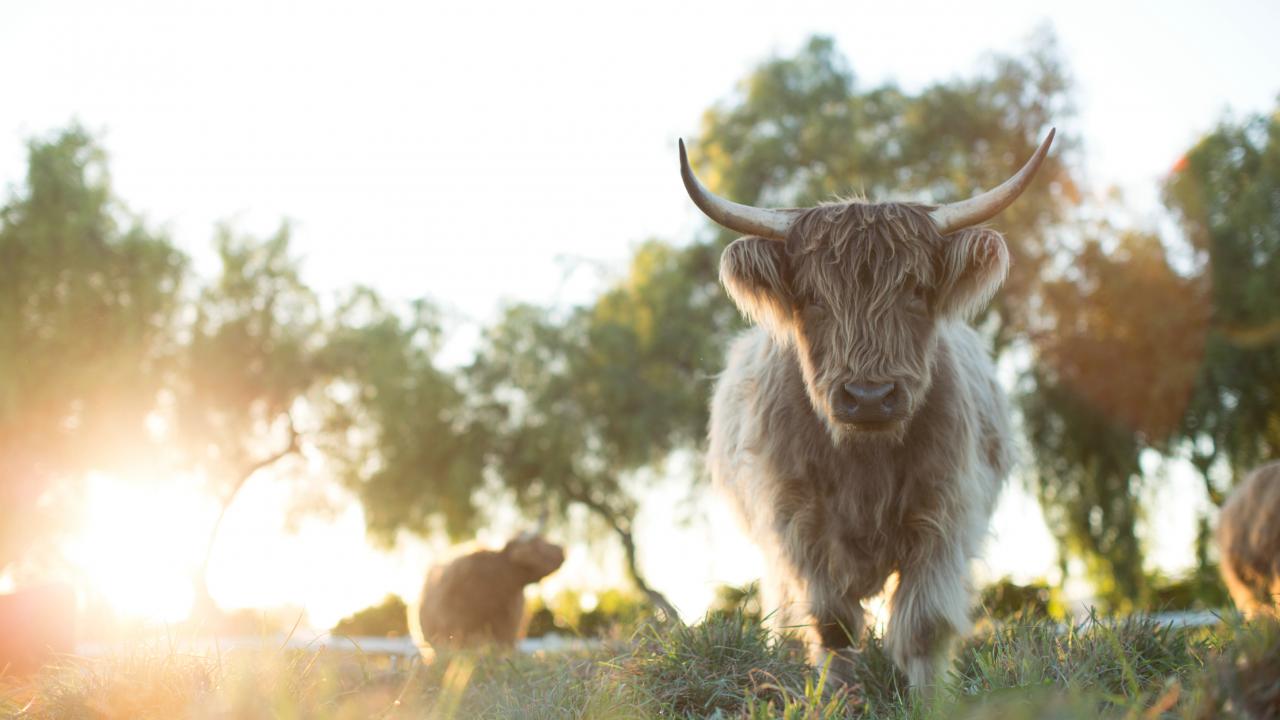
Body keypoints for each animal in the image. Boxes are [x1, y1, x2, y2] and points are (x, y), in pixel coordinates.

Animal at [686, 131, 1054, 686]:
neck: (864, 460)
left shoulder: (945, 511)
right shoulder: (796, 520)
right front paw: (837, 694)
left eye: (917, 290)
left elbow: (924, 625)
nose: (869, 397)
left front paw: (929, 698)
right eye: (813, 297)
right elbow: (831, 624)